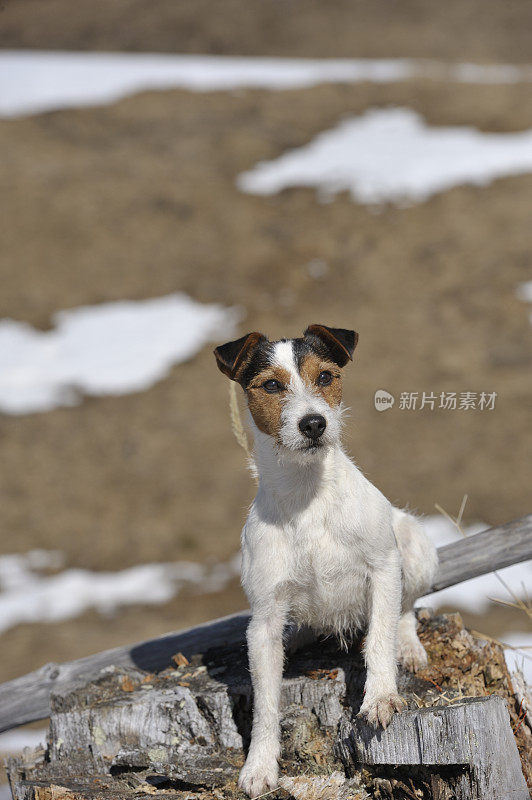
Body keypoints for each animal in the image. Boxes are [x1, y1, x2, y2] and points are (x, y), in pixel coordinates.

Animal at [214, 324, 438, 792]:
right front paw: (259, 766)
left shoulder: (383, 569)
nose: (313, 423)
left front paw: (381, 697)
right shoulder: (263, 622)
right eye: (272, 385)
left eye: (325, 377)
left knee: (405, 610)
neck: (307, 495)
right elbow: (266, 703)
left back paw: (409, 647)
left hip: (414, 545)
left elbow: (379, 640)